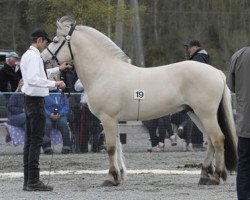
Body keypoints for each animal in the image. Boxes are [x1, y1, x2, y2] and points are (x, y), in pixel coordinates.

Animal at [42, 16, 237, 187]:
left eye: (55, 40)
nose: (43, 59)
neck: (104, 71)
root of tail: (217, 72)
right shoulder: (113, 120)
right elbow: (118, 147)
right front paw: (119, 176)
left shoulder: (107, 118)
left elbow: (111, 147)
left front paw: (111, 178)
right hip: (194, 113)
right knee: (211, 141)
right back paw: (204, 175)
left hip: (206, 114)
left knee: (218, 139)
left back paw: (216, 177)